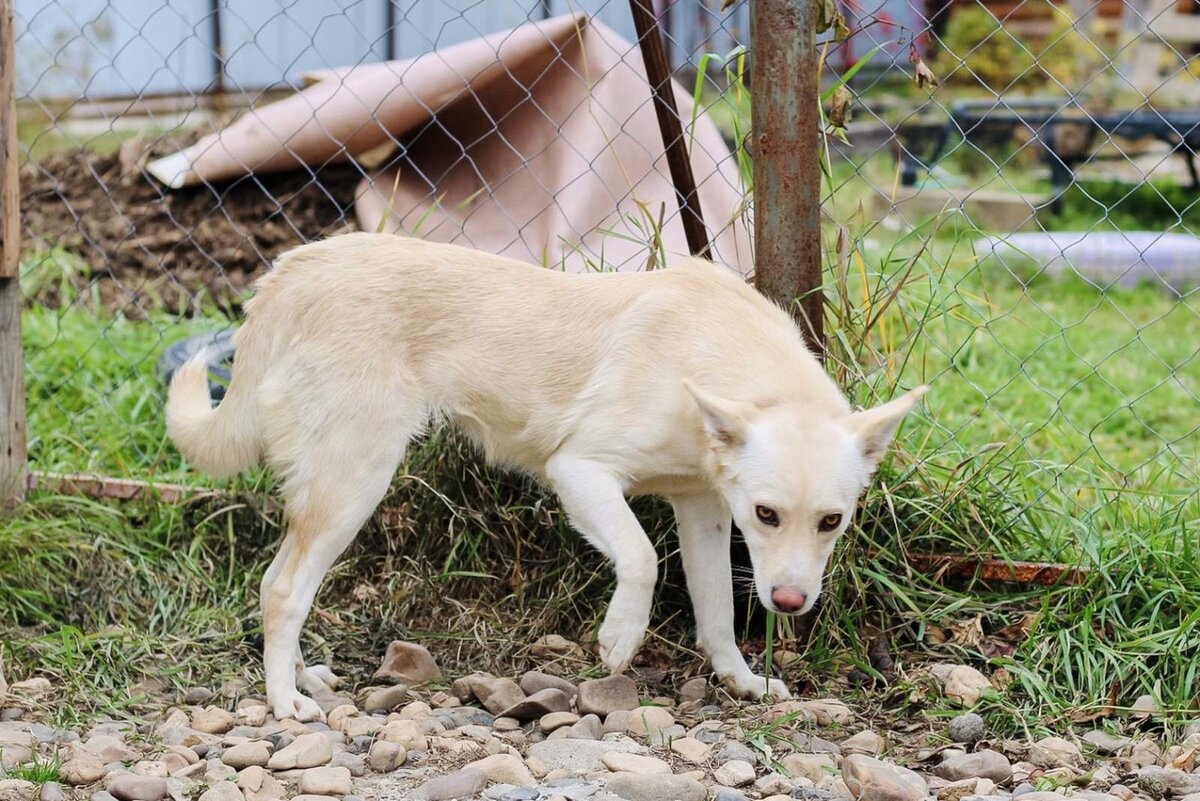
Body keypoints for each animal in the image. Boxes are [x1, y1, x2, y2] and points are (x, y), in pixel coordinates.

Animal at [164, 231, 921, 719]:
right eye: (767, 514)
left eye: (831, 521)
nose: (791, 603)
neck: (713, 356)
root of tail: (297, 268)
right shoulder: (580, 470)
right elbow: (641, 559)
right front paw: (620, 637)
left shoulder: (702, 508)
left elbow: (716, 613)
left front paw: (741, 682)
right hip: (354, 482)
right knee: (284, 589)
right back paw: (282, 700)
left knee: (276, 581)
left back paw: (300, 677)